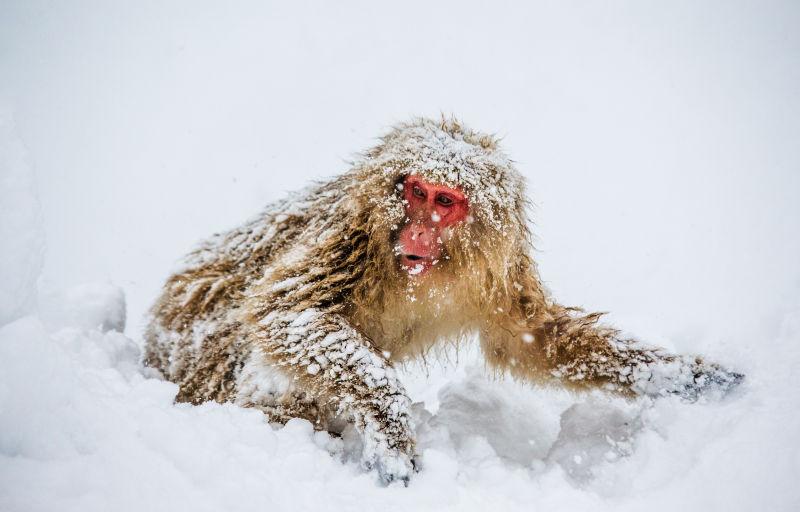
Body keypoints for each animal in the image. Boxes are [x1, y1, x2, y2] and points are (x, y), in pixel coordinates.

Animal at [144, 115, 744, 484]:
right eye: (416, 192)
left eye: (446, 202)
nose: (418, 231)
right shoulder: (352, 235)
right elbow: (285, 311)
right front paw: (390, 427)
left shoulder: (497, 269)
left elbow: (531, 340)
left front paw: (680, 376)